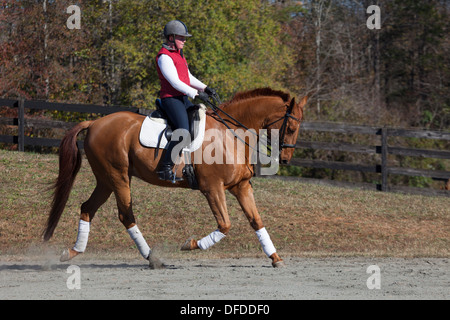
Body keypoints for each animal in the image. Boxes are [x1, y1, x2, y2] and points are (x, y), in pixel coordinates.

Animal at [43, 87, 306, 268]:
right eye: (292, 128)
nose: (285, 159)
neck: (231, 133)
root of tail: (95, 122)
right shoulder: (212, 188)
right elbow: (225, 224)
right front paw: (190, 245)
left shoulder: (241, 187)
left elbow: (256, 221)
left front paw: (275, 258)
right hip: (118, 177)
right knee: (126, 215)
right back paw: (153, 258)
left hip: (106, 181)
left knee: (88, 208)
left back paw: (73, 252)